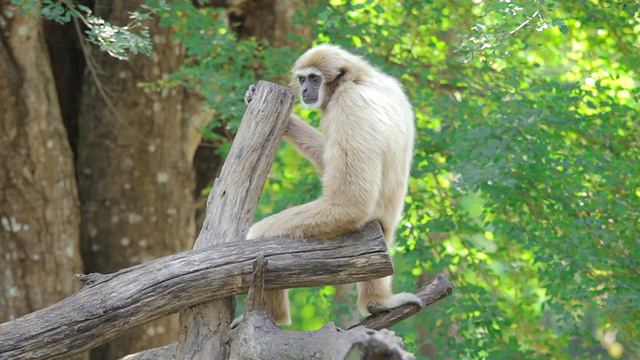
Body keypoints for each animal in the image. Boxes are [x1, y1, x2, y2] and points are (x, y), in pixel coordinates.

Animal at [240, 43, 420, 324]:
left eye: (315, 79)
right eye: (302, 79)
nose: (304, 90)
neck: (359, 78)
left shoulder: (350, 106)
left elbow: (351, 202)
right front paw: (288, 121)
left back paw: (276, 318)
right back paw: (378, 302)